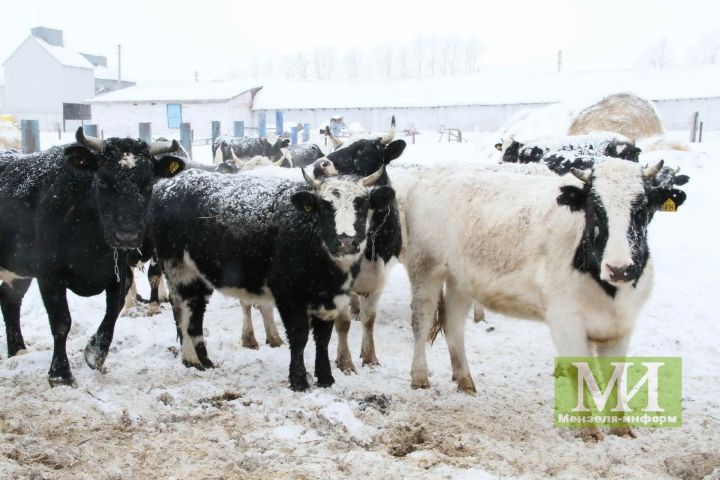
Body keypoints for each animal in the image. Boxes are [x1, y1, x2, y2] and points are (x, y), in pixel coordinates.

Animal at [0, 128, 186, 386]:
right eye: (103, 181)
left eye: (149, 182)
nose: (127, 235)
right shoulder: (49, 276)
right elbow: (61, 322)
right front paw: (60, 374)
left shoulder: (116, 270)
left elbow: (114, 310)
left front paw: (95, 353)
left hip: (17, 268)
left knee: (9, 299)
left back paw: (17, 350)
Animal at [148, 165, 394, 390]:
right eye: (324, 206)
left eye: (362, 204)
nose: (346, 241)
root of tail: (168, 184)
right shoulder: (288, 296)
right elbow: (299, 336)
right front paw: (299, 381)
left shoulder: (331, 298)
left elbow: (323, 337)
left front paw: (325, 378)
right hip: (179, 271)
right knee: (183, 312)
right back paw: (191, 359)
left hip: (199, 276)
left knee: (196, 314)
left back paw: (205, 361)